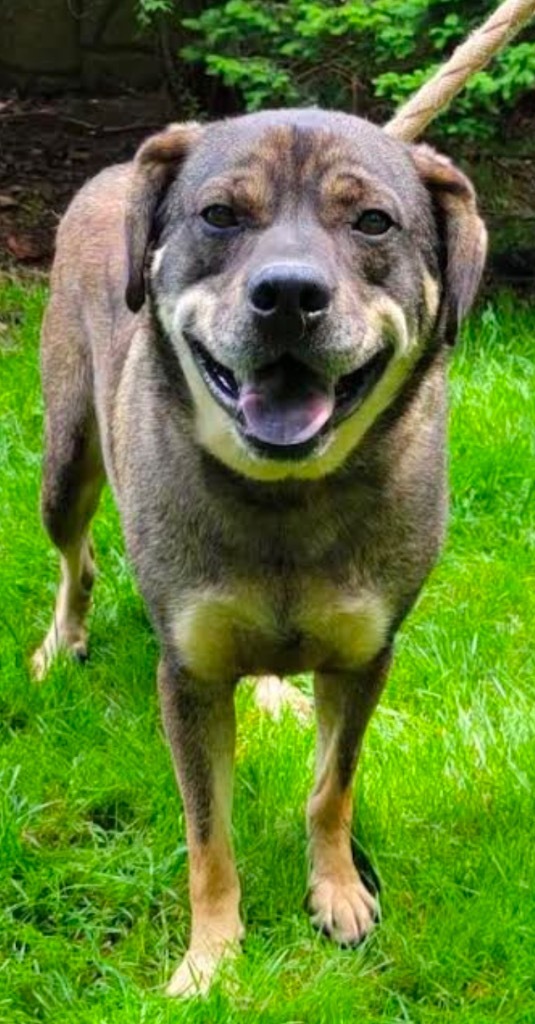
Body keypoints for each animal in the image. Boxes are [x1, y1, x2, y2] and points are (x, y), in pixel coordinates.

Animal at [31, 108, 485, 995]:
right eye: (219, 216)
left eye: (371, 221)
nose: (288, 295)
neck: (286, 497)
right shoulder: (189, 675)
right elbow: (208, 835)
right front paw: (210, 958)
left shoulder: (366, 657)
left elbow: (330, 787)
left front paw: (336, 891)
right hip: (65, 462)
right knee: (78, 559)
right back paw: (60, 642)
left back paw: (275, 692)